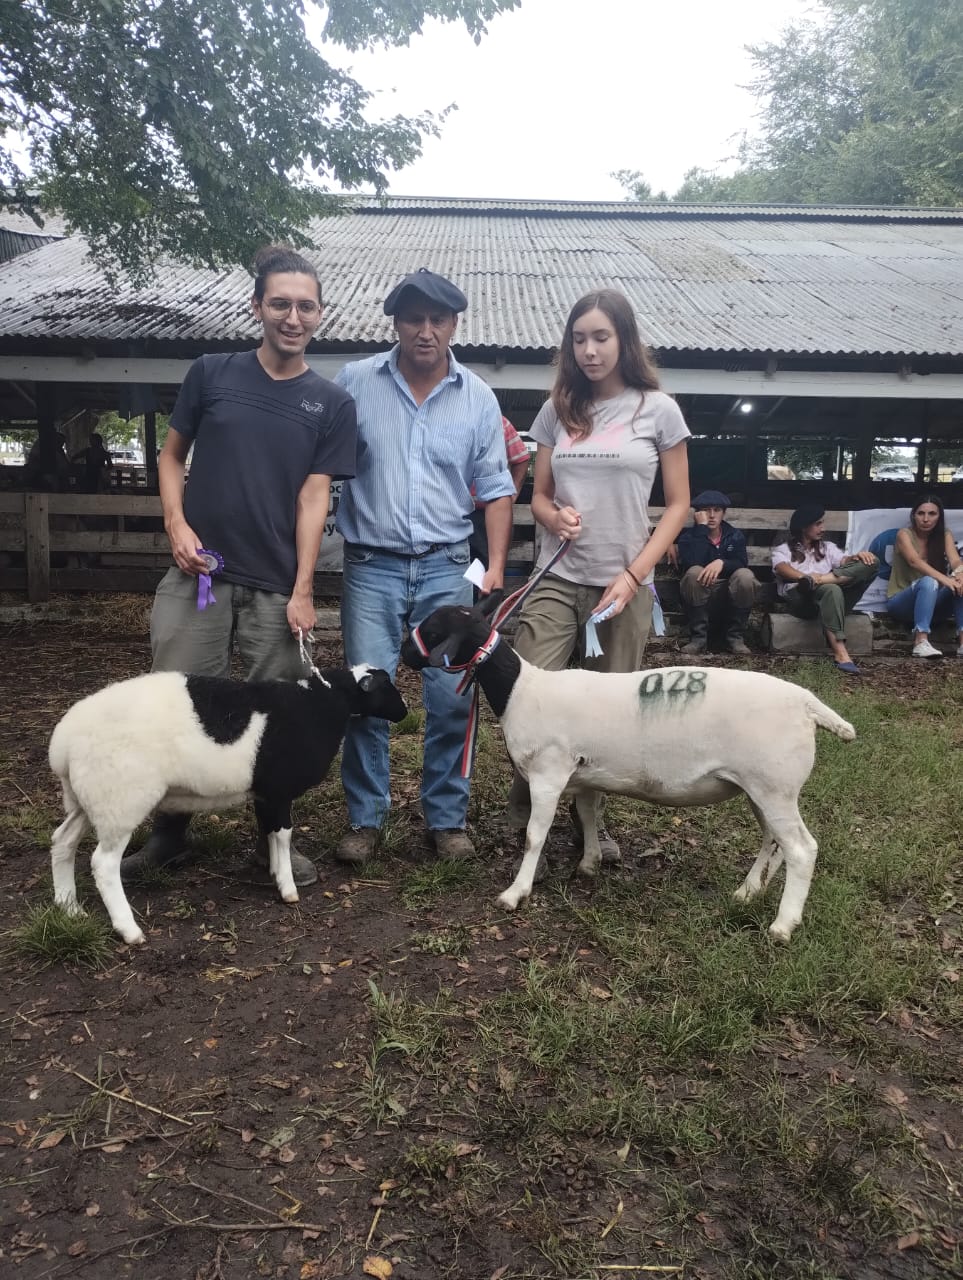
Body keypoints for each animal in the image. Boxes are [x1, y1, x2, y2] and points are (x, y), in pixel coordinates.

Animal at [48, 664, 407, 945]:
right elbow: (283, 834)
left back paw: (69, 908)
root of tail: (62, 743)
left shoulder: (266, 793)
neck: (323, 703)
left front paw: (275, 871)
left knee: (62, 841)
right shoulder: (279, 789)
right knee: (103, 863)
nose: (404, 712)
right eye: (386, 686)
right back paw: (128, 929)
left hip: (85, 799)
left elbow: (271, 833)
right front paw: (288, 889)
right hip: (120, 801)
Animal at [401, 600, 856, 941]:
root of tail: (808, 706)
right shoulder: (585, 774)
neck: (521, 690)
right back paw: (747, 893)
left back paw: (783, 924)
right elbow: (588, 815)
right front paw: (589, 864)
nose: (404, 652)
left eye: (435, 629)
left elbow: (534, 836)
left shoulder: (550, 773)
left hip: (774, 784)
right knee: (774, 841)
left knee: (802, 848)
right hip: (762, 787)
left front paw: (515, 893)